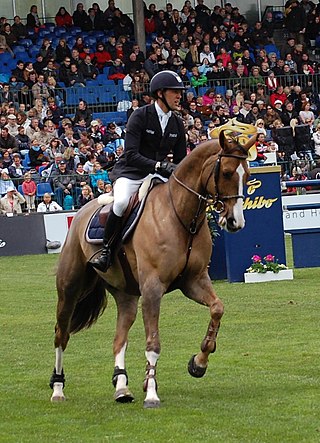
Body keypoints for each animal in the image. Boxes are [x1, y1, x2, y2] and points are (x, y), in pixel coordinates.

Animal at [50, 129, 256, 410]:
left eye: (247, 175)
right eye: (225, 173)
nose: (236, 222)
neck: (181, 216)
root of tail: (82, 211)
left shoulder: (194, 281)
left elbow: (217, 308)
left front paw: (199, 363)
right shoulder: (153, 289)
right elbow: (153, 343)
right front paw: (151, 394)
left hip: (126, 295)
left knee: (119, 338)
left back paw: (122, 387)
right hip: (70, 289)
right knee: (61, 334)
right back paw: (58, 389)